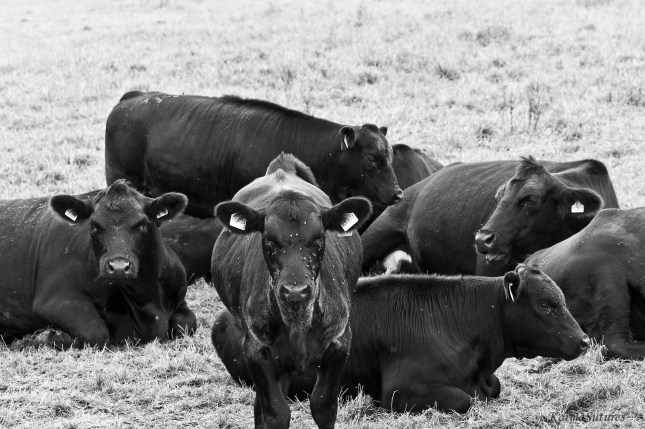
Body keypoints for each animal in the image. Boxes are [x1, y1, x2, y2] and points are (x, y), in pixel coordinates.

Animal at [0, 180, 196, 348]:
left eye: (142, 225)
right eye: (94, 226)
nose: (118, 267)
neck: (147, 304)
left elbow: (188, 323)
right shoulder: (55, 300)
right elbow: (96, 332)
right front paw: (44, 337)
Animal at [210, 153, 372, 428]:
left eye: (319, 238)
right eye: (268, 240)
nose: (295, 290)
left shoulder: (339, 342)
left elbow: (324, 406)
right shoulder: (257, 349)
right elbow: (275, 413)